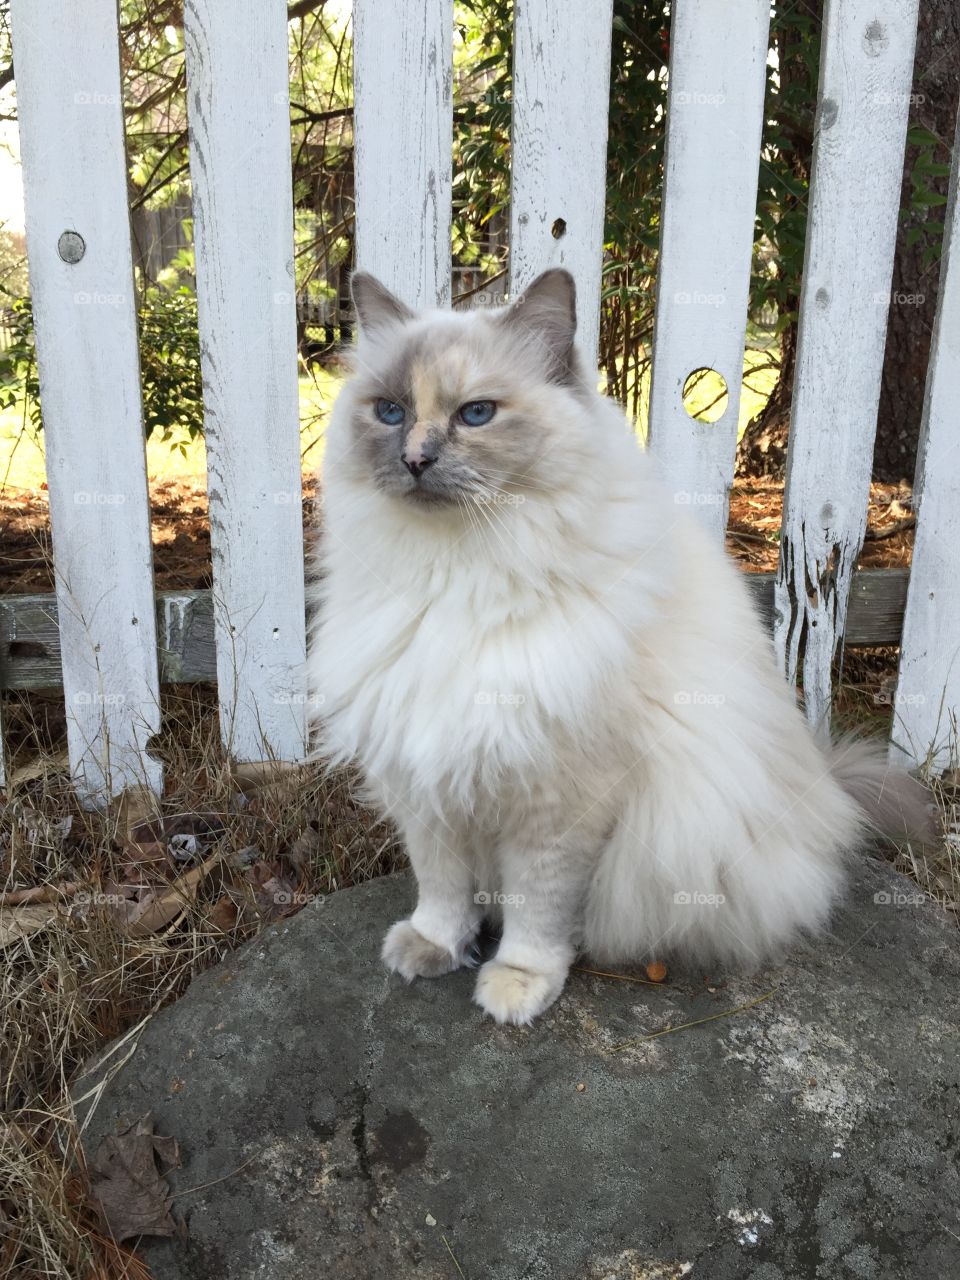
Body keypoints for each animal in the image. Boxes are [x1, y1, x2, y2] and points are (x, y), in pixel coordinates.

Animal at [305, 272, 931, 1029]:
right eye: (390, 412)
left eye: (476, 414)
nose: (415, 460)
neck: (457, 576)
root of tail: (824, 784)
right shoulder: (425, 777)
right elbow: (442, 888)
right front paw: (433, 948)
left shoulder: (556, 801)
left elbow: (537, 911)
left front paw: (516, 985)